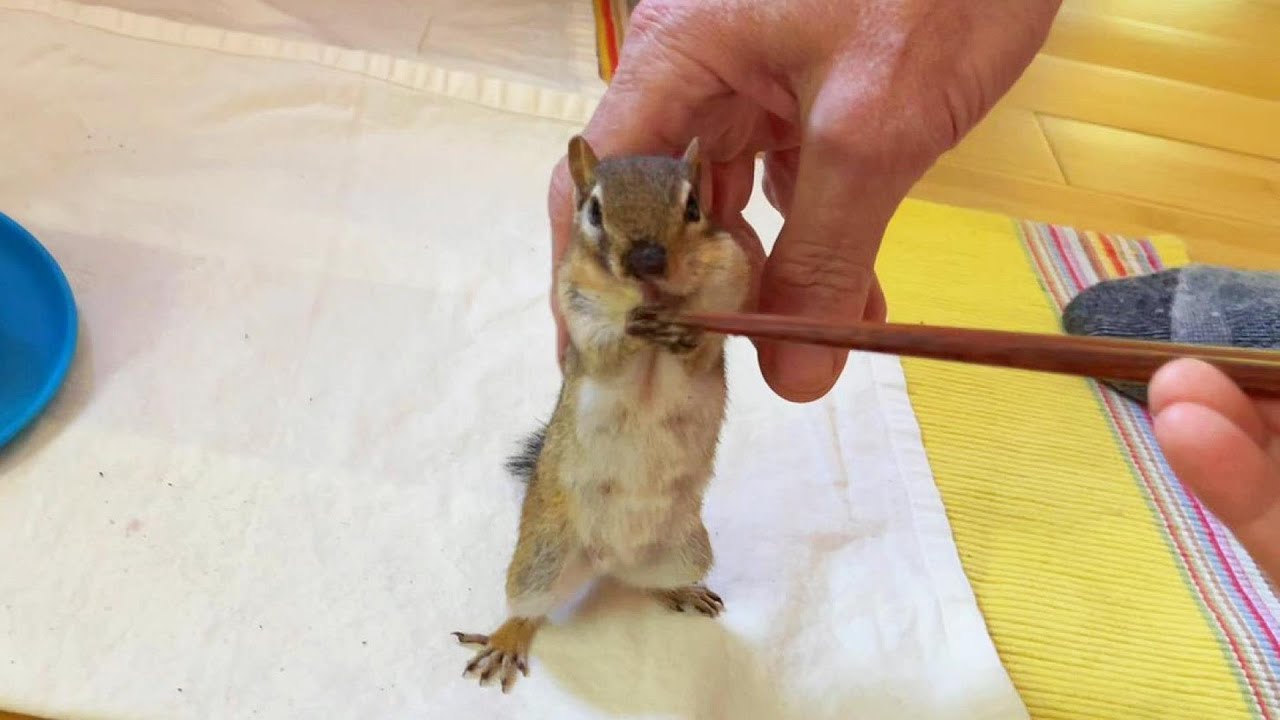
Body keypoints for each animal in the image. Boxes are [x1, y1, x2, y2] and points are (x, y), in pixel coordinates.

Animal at [452, 134, 751, 693]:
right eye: (593, 211)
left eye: (694, 207)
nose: (647, 260)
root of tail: (610, 562)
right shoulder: (579, 316)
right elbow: (607, 353)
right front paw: (631, 326)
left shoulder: (729, 284)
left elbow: (702, 352)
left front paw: (686, 331)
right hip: (542, 559)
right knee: (529, 609)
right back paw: (506, 640)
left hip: (686, 552)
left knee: (646, 584)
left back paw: (680, 591)